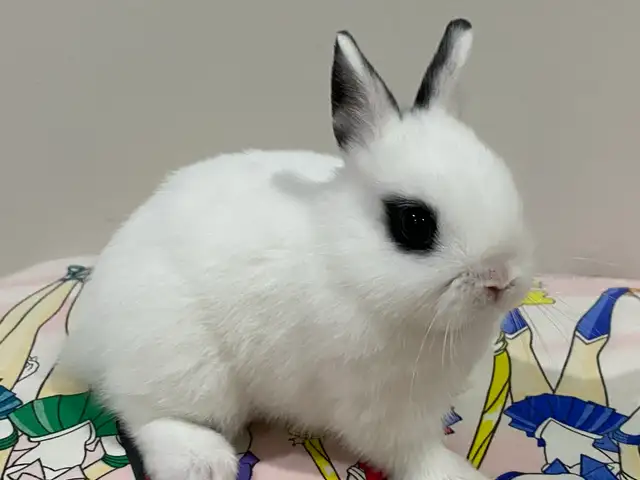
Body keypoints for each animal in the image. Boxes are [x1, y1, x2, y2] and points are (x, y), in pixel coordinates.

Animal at [59, 18, 532, 480]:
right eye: (414, 223)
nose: (500, 280)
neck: (345, 265)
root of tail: (87, 335)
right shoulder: (378, 407)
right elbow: (412, 453)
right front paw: (457, 472)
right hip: (188, 365)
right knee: (143, 413)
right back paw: (203, 461)